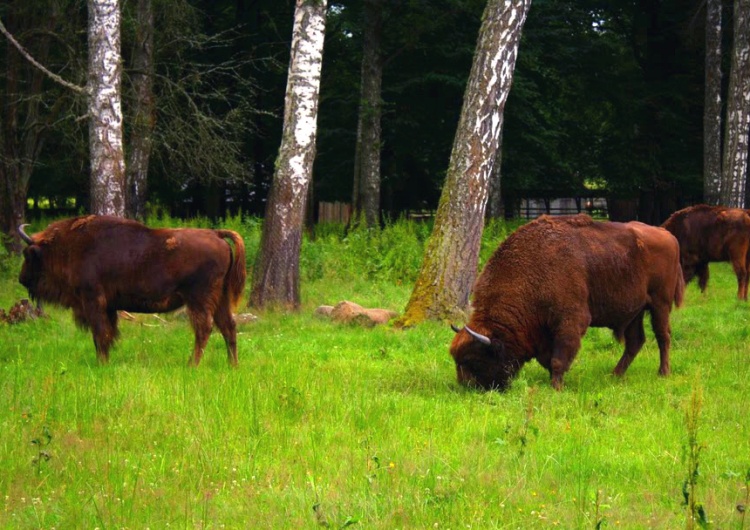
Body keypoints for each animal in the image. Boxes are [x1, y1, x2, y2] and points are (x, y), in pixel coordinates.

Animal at [18, 213, 247, 364]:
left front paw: (101, 363)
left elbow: (99, 333)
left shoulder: (93, 301)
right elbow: (108, 334)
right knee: (228, 327)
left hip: (198, 299)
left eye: (27, 255)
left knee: (205, 329)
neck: (72, 246)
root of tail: (216, 235)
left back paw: (192, 364)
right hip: (221, 298)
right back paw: (232, 366)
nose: (21, 279)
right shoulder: (108, 307)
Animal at [452, 212, 688, 390]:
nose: (465, 387)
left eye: (474, 359)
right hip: (634, 312)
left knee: (663, 336)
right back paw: (615, 374)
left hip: (659, 304)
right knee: (635, 341)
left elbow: (558, 358)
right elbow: (548, 359)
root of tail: (668, 235)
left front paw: (556, 387)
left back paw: (663, 373)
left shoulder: (571, 321)